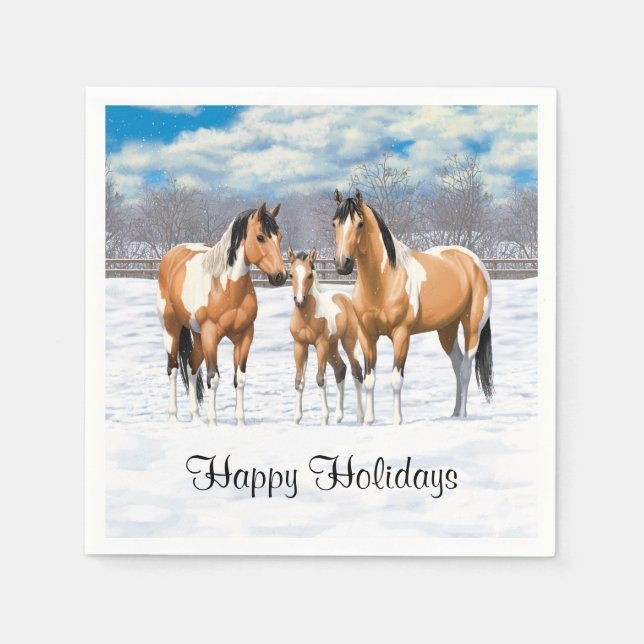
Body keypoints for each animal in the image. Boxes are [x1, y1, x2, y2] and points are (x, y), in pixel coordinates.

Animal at [157, 203, 287, 427]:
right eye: (260, 237)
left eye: (279, 237)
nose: (281, 275)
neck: (225, 288)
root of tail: (171, 255)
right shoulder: (211, 334)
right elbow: (213, 378)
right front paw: (213, 423)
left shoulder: (245, 336)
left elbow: (240, 379)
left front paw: (240, 422)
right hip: (172, 328)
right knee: (172, 369)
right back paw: (173, 416)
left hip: (198, 335)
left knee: (191, 366)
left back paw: (195, 416)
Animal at [288, 248, 364, 425]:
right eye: (291, 274)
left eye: (310, 275)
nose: (299, 300)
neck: (307, 316)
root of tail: (346, 298)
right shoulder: (300, 345)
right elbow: (299, 381)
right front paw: (296, 418)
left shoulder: (320, 344)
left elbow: (320, 379)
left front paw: (324, 418)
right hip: (332, 346)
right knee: (340, 369)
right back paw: (338, 417)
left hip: (348, 343)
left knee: (356, 371)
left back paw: (360, 417)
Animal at [332, 189, 494, 425]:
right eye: (334, 223)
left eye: (360, 223)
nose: (342, 264)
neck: (384, 281)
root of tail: (474, 261)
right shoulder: (366, 335)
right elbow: (369, 379)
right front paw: (369, 421)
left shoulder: (401, 334)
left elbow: (396, 379)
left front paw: (397, 421)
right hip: (446, 329)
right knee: (457, 365)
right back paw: (454, 413)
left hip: (472, 327)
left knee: (465, 369)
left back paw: (463, 415)